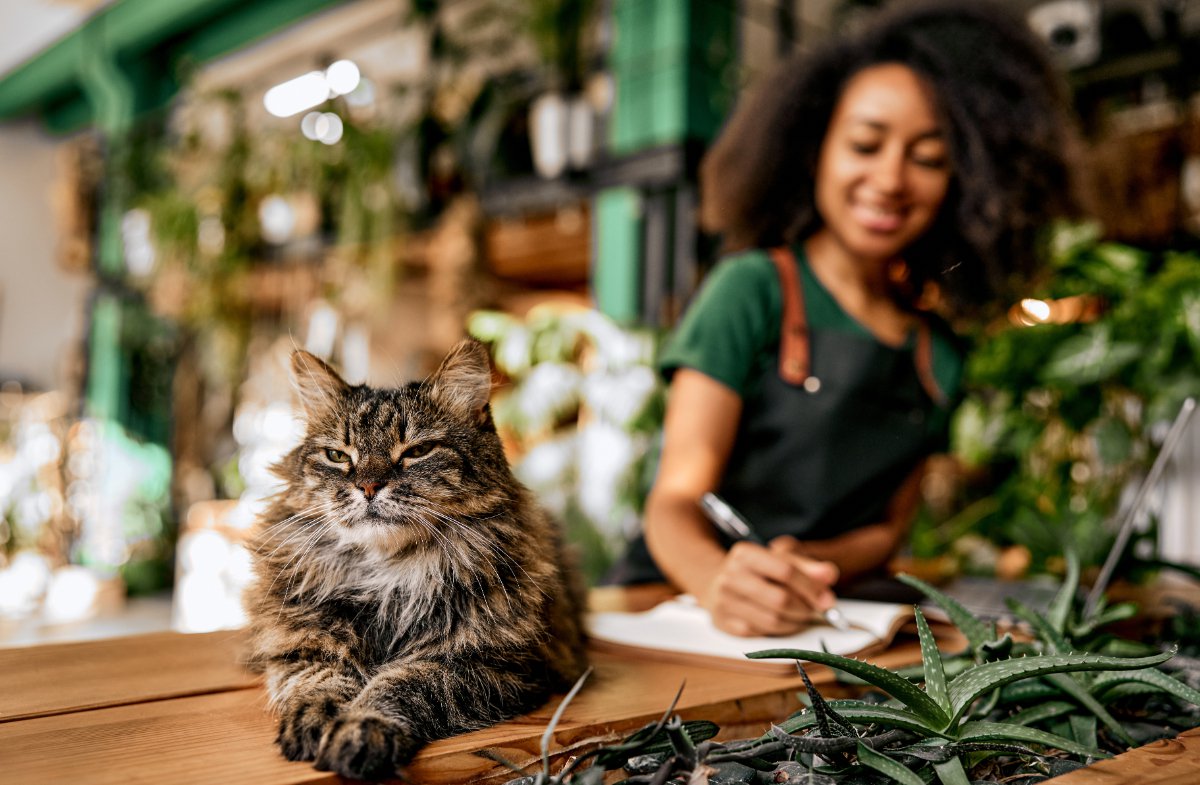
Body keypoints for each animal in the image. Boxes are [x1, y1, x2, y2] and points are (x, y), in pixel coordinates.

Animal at [247, 340, 590, 782]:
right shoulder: (303, 644)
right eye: (338, 456)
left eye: (418, 451)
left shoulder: (492, 665)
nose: (368, 486)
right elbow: (318, 680)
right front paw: (315, 718)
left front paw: (360, 729)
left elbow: (403, 684)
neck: (387, 578)